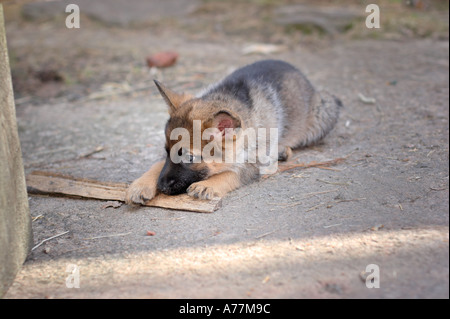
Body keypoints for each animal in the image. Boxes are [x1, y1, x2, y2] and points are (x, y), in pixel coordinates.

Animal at [124, 60, 342, 205]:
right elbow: (157, 164)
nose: (161, 186)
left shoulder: (253, 164)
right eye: (166, 151)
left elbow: (231, 173)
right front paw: (141, 183)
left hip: (325, 113)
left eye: (190, 158)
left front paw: (209, 184)